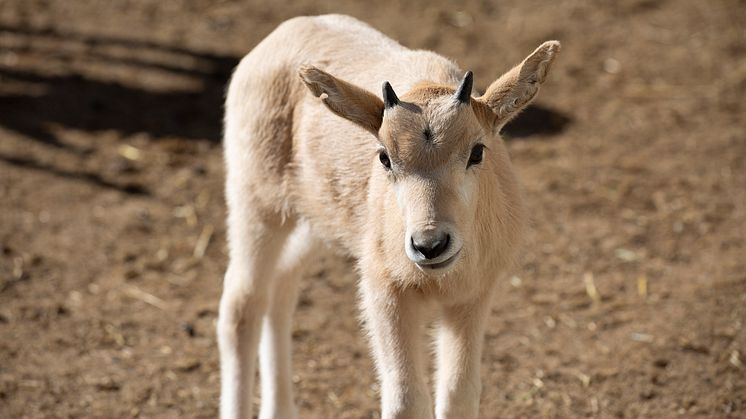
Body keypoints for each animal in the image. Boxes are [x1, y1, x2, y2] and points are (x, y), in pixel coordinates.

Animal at [218, 13, 560, 419]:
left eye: (477, 151)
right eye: (384, 157)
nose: (430, 245)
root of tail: (283, 34)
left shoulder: (473, 294)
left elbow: (458, 394)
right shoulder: (384, 290)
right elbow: (405, 398)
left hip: (316, 221)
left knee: (282, 285)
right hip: (255, 199)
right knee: (242, 305)